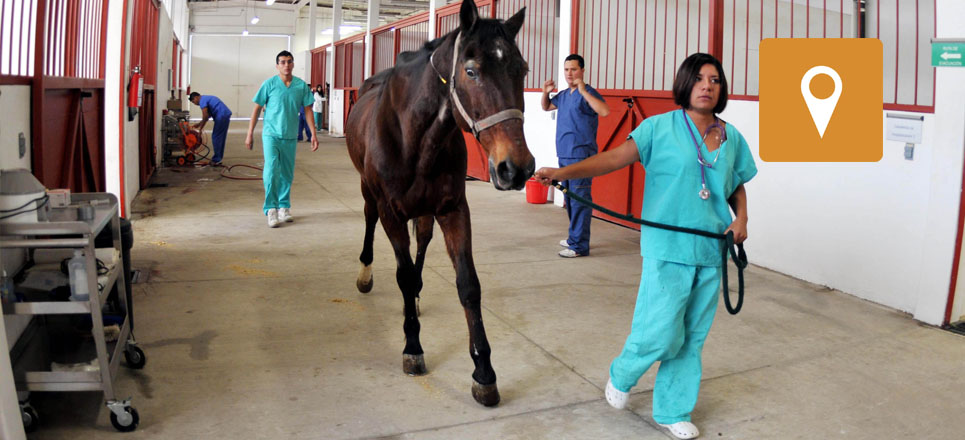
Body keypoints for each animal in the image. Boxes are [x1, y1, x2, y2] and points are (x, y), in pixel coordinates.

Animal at [342, 0, 532, 406]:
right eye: (471, 71)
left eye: (522, 70)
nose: (516, 168)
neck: (415, 137)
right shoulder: (391, 213)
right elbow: (402, 274)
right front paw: (412, 348)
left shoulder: (453, 210)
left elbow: (468, 285)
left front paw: (484, 373)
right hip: (368, 192)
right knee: (369, 221)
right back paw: (366, 275)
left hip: (428, 213)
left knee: (423, 244)